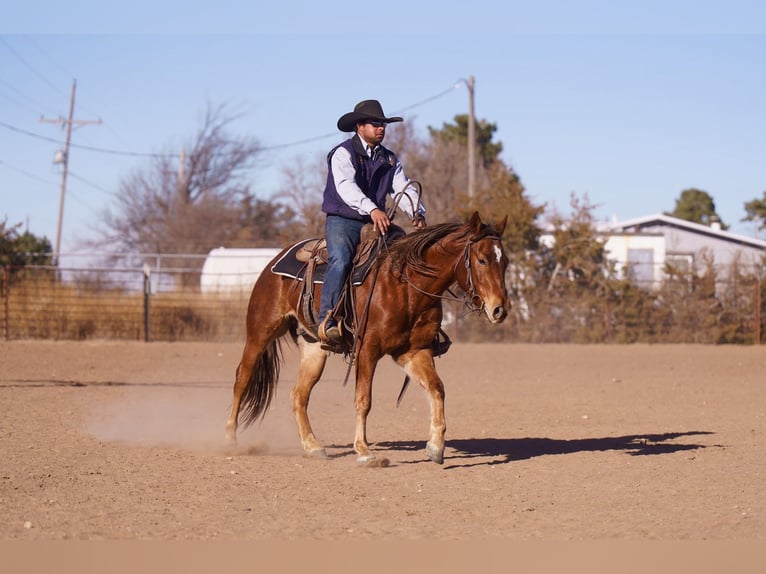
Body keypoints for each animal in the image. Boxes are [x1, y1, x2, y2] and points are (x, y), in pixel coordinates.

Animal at [225, 211, 510, 465]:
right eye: (482, 260)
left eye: (504, 261)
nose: (500, 309)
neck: (406, 285)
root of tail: (273, 262)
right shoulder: (367, 350)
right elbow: (363, 400)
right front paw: (363, 451)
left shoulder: (414, 351)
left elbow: (436, 388)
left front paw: (436, 446)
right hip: (260, 333)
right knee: (242, 379)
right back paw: (230, 440)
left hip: (313, 349)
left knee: (298, 395)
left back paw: (313, 446)